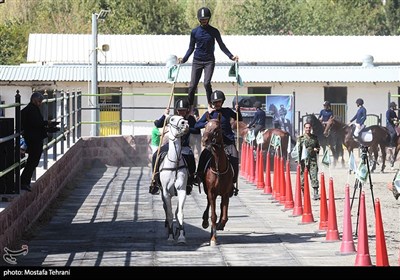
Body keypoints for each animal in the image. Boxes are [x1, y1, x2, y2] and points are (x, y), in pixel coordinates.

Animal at [200, 114, 234, 245]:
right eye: (205, 126)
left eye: (217, 129)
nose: (204, 141)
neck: (219, 168)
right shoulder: (211, 192)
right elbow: (213, 215)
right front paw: (213, 239)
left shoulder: (225, 193)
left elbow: (224, 215)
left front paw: (220, 225)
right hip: (208, 191)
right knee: (209, 204)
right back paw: (206, 222)